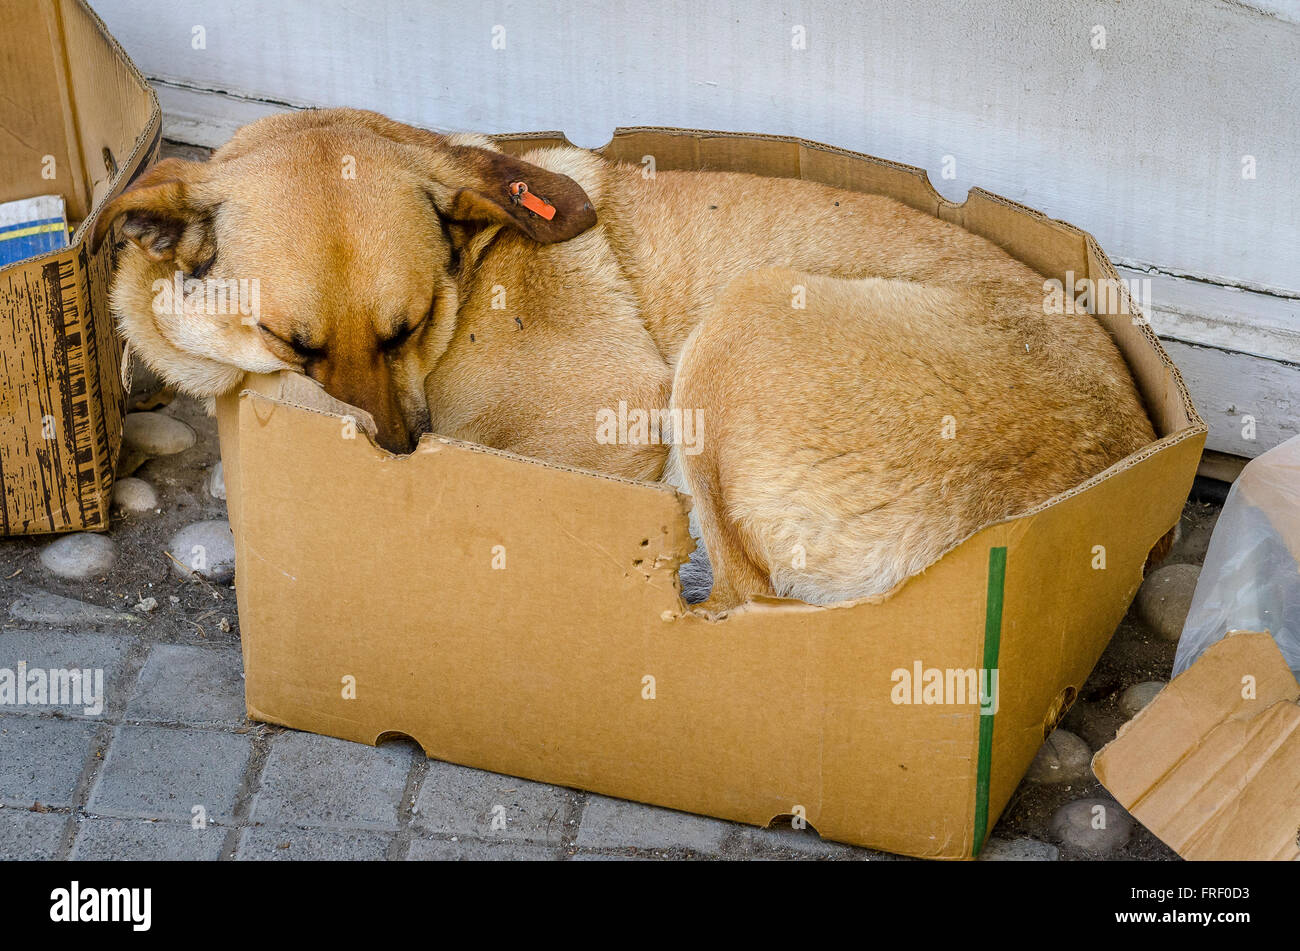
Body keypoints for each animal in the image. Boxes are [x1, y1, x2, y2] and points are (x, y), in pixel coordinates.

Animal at [94, 107, 1159, 613]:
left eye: (412, 323)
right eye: (296, 339)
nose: (397, 453)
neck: (475, 277)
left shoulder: (613, 409)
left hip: (743, 322)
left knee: (743, 598)